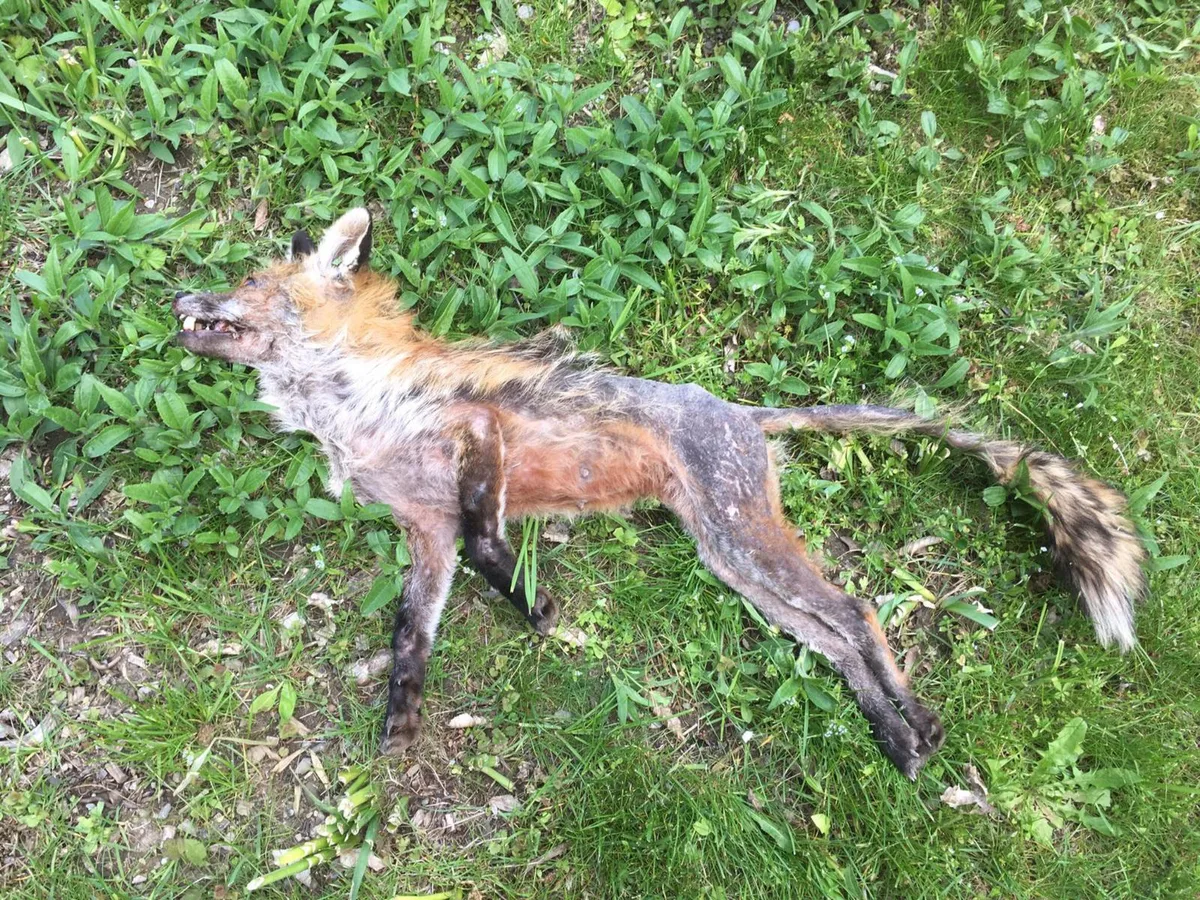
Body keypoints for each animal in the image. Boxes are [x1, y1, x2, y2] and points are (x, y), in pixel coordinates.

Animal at [172, 207, 1146, 778]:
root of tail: (745, 410)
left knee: (861, 610)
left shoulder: (474, 436)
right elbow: (412, 637)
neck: (347, 411)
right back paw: (895, 735)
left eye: (248, 283)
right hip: (733, 562)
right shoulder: (424, 530)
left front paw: (534, 607)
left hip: (746, 544)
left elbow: (491, 546)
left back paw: (921, 728)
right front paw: (401, 726)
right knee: (834, 638)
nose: (178, 295)